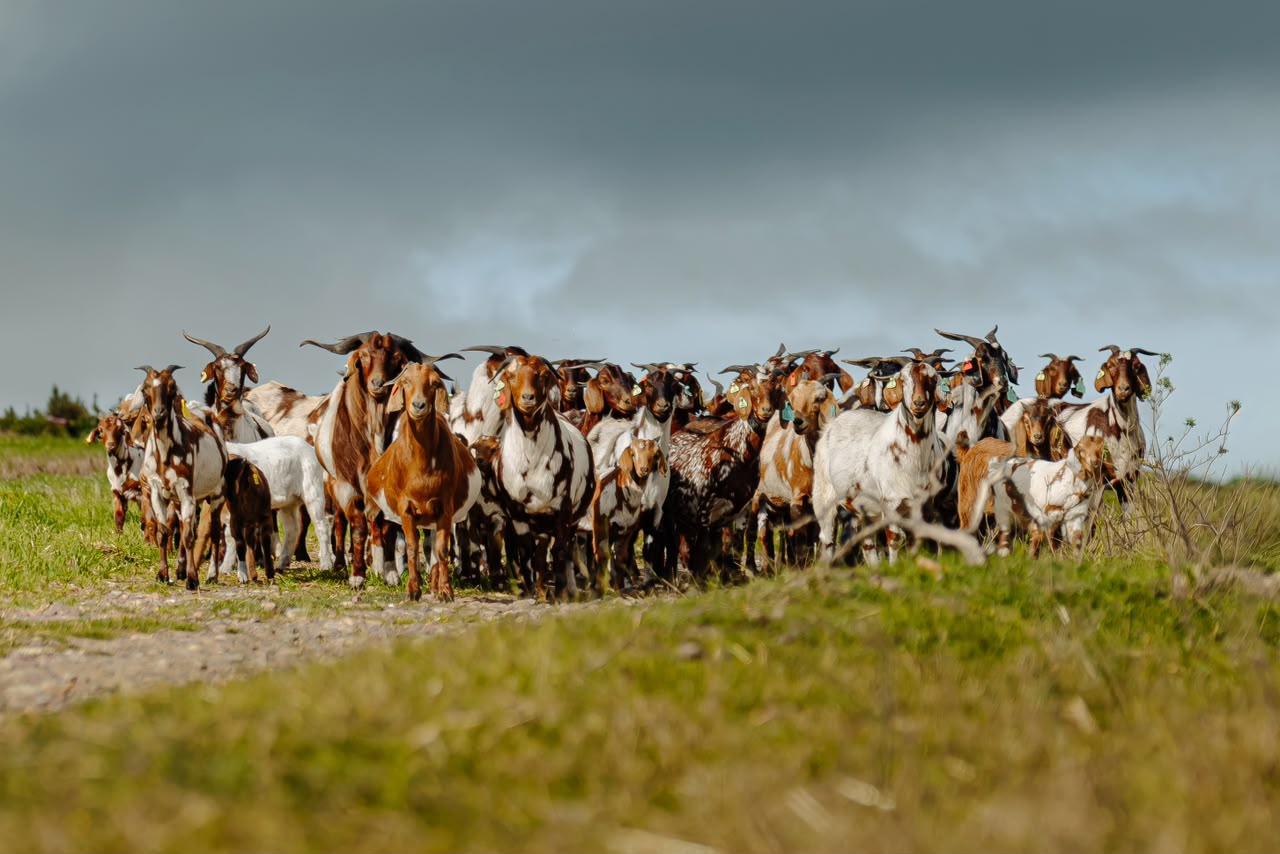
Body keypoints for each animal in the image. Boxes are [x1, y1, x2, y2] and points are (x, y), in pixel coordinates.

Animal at [366, 362, 481, 601]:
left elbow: (442, 549)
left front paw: (445, 591)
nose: (419, 405)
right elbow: (411, 547)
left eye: (434, 383)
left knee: (435, 550)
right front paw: (412, 590)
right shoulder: (406, 509)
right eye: (405, 382)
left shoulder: (445, 507)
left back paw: (436, 586)